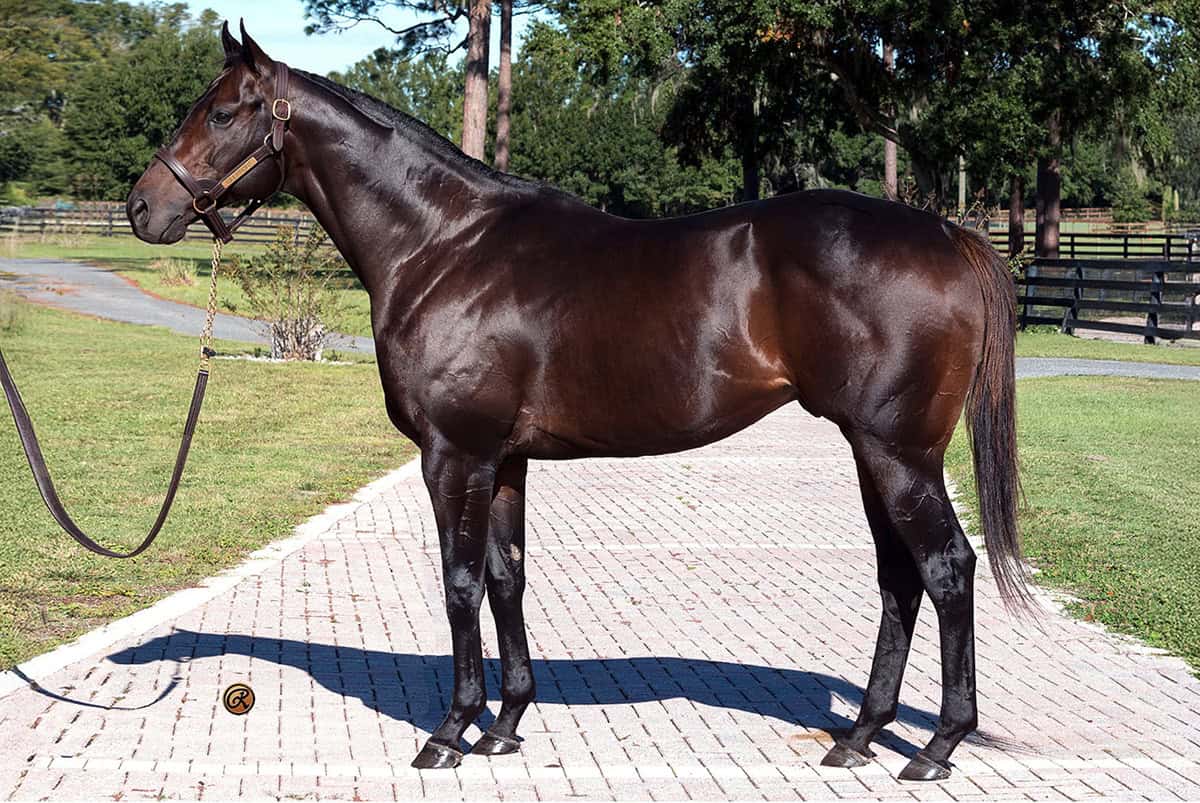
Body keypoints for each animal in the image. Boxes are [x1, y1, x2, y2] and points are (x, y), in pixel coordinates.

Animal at [127, 23, 1027, 780]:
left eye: (224, 111)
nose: (144, 207)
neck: (443, 245)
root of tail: (947, 233)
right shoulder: (505, 460)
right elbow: (506, 576)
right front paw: (504, 723)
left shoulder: (454, 454)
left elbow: (458, 581)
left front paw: (450, 731)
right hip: (875, 453)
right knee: (899, 578)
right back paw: (862, 734)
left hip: (897, 453)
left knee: (947, 569)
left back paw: (937, 747)